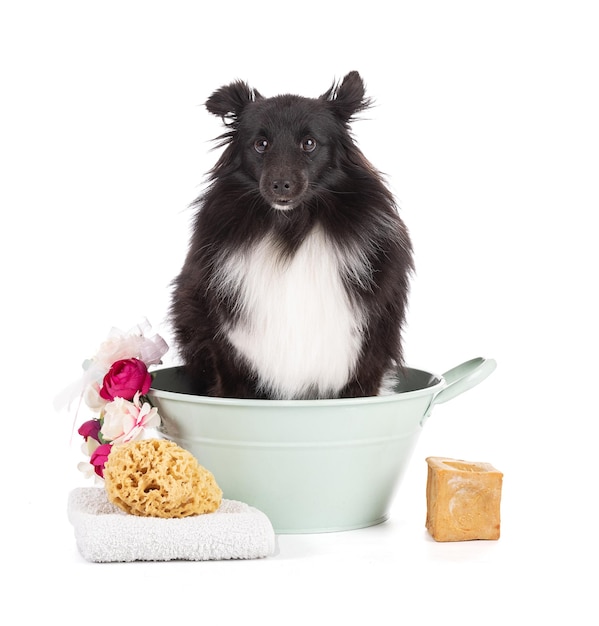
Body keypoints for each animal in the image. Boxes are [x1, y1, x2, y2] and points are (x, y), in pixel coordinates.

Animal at [169, 70, 412, 398]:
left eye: (309, 143)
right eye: (261, 144)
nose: (280, 185)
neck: (291, 228)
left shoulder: (367, 356)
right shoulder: (230, 356)